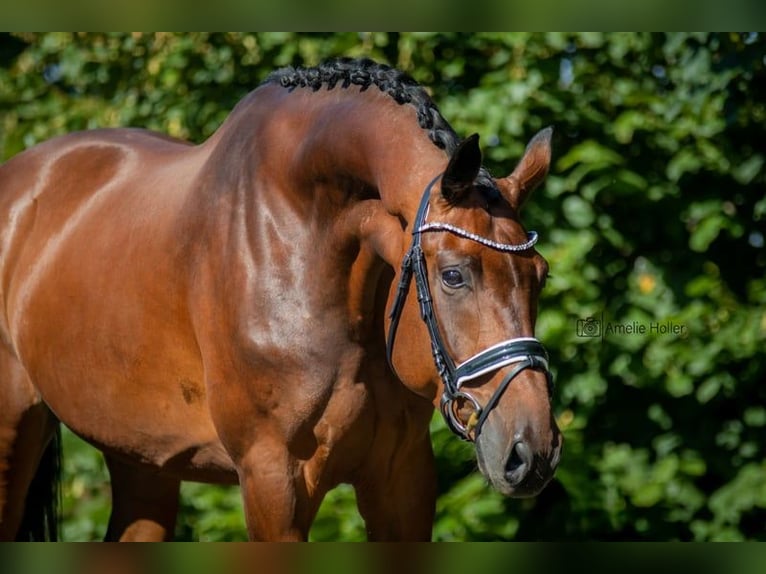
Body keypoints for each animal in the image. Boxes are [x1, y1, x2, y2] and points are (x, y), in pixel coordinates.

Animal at [0, 58, 564, 544]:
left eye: (540, 275)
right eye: (452, 276)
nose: (531, 450)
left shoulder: (401, 476)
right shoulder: (274, 478)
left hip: (143, 459)